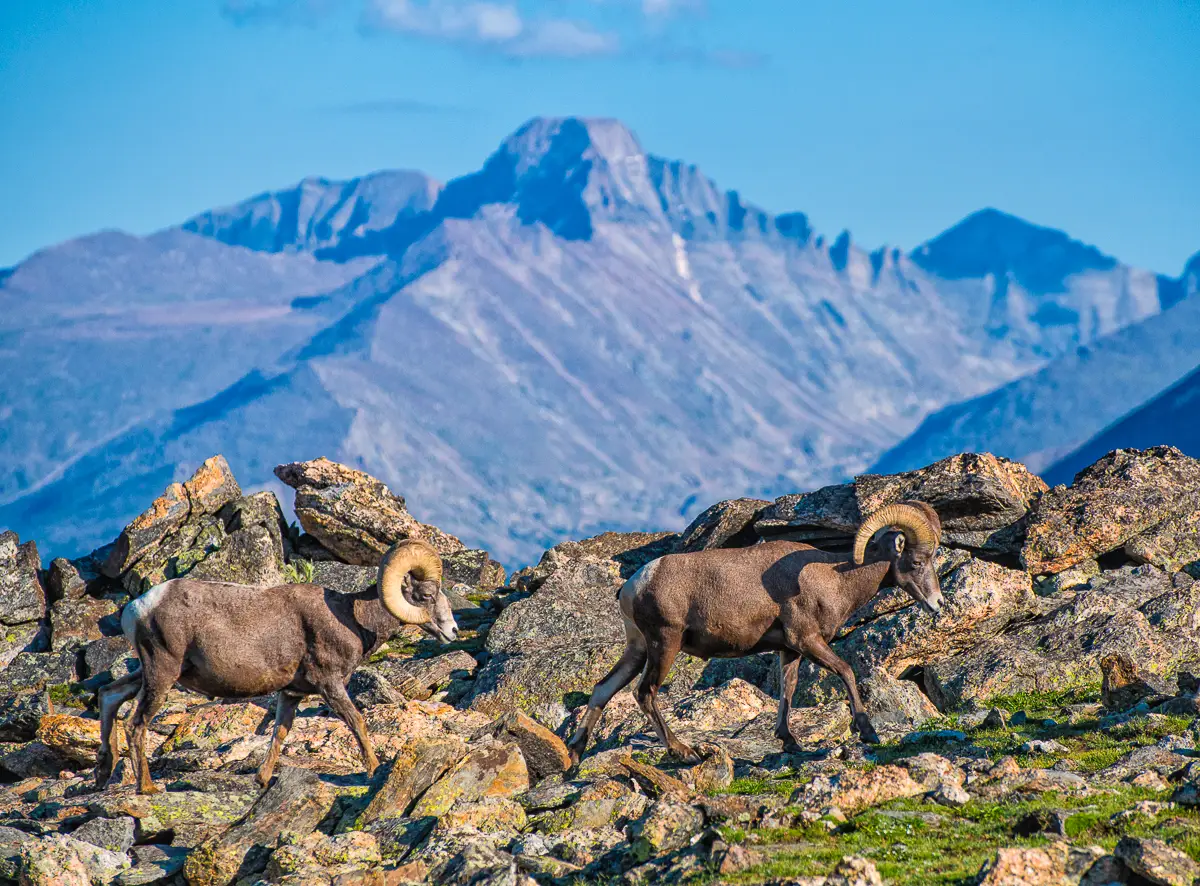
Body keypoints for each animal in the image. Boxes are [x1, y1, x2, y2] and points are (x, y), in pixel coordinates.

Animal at [94, 539, 458, 794]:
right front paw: (372, 768)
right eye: (427, 594)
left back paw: (103, 772)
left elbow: (279, 733)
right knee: (135, 724)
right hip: (162, 674)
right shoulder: (330, 685)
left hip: (150, 673)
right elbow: (357, 722)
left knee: (109, 695)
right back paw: (147, 788)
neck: (351, 617)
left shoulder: (291, 694)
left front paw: (262, 779)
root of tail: (139, 607)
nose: (453, 631)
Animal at [566, 502, 943, 764]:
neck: (834, 579)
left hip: (638, 648)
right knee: (645, 693)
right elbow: (846, 671)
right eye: (917, 562)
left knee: (602, 690)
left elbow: (788, 689)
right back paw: (683, 752)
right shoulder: (808, 641)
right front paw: (868, 733)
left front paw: (789, 741)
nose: (937, 603)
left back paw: (573, 756)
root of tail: (634, 585)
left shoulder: (790, 650)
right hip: (664, 644)